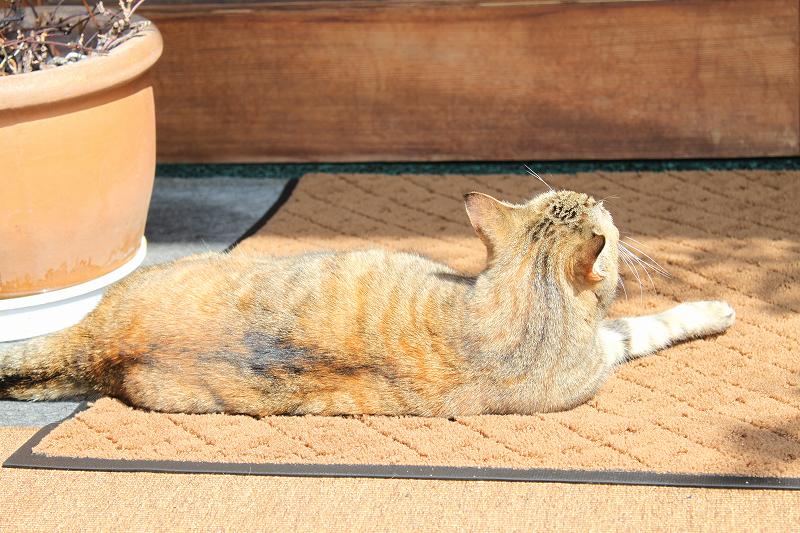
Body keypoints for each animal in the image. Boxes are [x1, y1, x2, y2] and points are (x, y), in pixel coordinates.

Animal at [0, 187, 736, 416]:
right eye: (599, 211)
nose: (606, 197)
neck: (522, 296)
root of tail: (96, 338)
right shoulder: (603, 349)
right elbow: (651, 324)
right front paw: (713, 309)